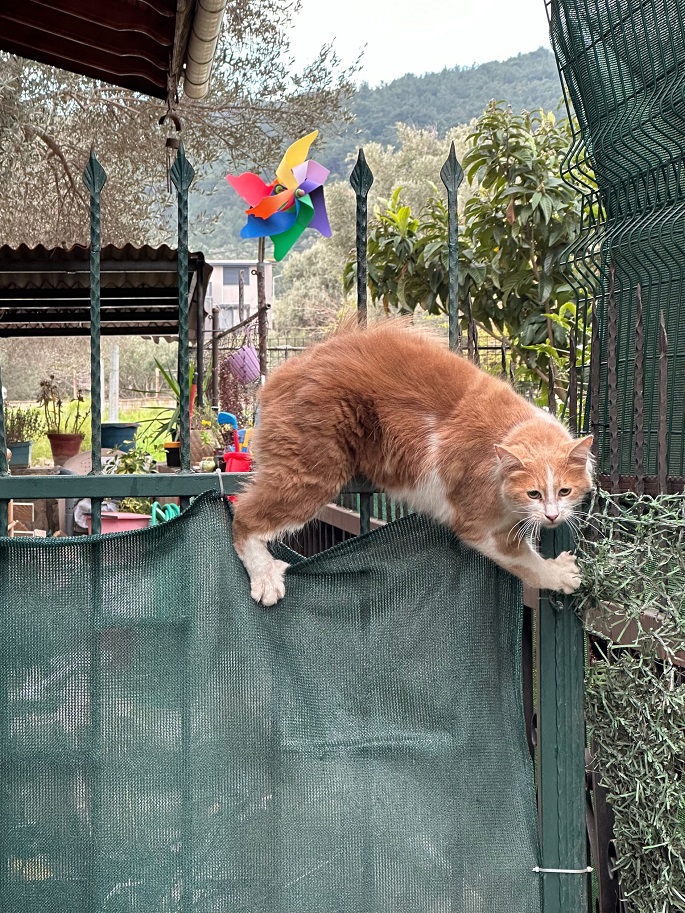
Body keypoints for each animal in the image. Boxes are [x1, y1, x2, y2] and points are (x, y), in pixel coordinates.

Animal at [232, 320, 592, 604]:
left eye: (565, 491)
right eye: (533, 493)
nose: (552, 516)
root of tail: (284, 370)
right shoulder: (478, 527)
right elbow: (526, 562)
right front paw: (559, 575)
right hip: (312, 474)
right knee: (243, 517)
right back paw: (266, 578)